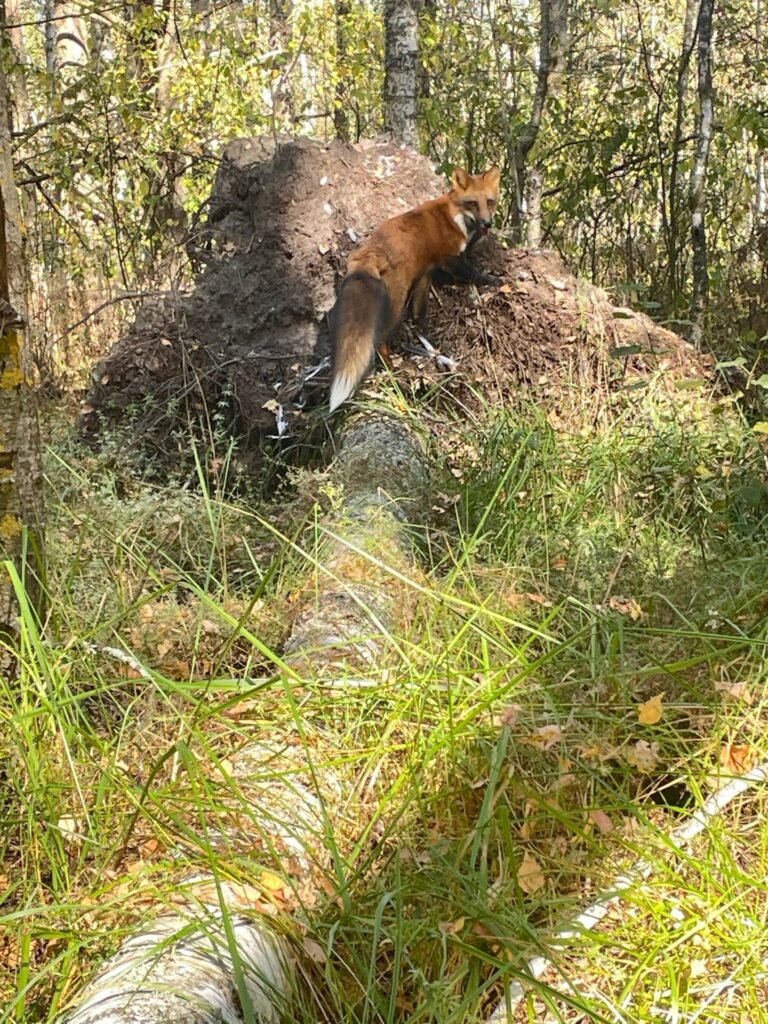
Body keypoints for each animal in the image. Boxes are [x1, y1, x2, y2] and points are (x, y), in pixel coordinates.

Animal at [327, 163, 501, 411]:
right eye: (473, 203)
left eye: (490, 201)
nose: (488, 223)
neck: (454, 216)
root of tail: (368, 251)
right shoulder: (450, 258)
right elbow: (473, 273)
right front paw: (493, 281)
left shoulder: (424, 273)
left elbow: (420, 314)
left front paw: (428, 339)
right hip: (396, 304)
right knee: (380, 340)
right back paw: (392, 372)